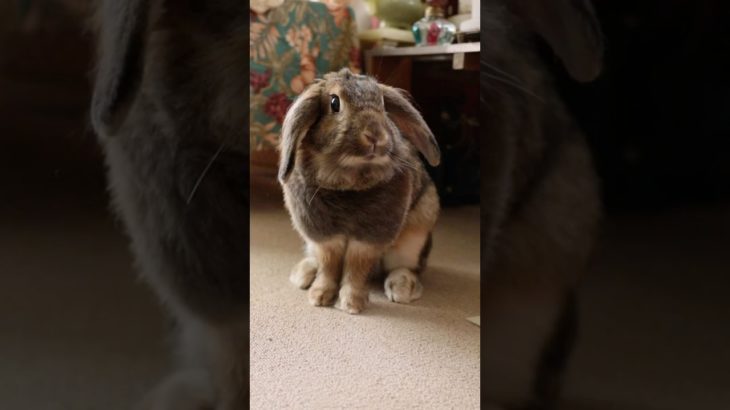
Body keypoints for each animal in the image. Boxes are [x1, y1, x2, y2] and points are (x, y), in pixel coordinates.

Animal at [278, 68, 442, 314]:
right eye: (334, 102)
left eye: (382, 104)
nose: (375, 135)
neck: (349, 183)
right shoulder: (322, 234)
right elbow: (329, 264)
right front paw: (319, 297)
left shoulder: (369, 238)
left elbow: (356, 267)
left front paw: (352, 304)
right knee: (316, 260)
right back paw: (303, 275)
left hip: (415, 236)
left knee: (406, 267)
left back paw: (403, 288)